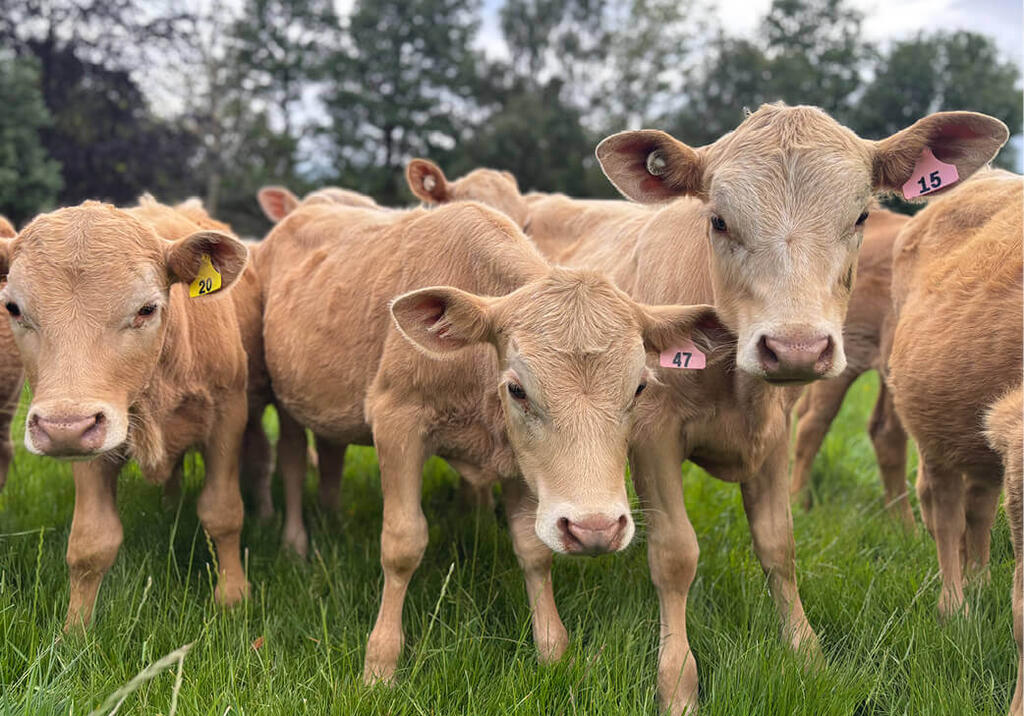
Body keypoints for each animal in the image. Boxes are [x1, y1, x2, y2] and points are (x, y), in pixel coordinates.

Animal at [0, 201, 251, 628]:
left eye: (146, 309)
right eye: (14, 308)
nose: (61, 428)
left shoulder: (229, 415)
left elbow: (223, 511)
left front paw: (233, 595)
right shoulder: (87, 442)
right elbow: (91, 541)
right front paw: (76, 629)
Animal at [253, 198, 724, 686]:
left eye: (640, 388)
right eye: (517, 389)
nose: (594, 528)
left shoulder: (518, 458)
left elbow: (533, 549)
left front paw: (552, 650)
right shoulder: (395, 418)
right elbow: (402, 543)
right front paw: (380, 665)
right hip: (285, 401)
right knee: (292, 461)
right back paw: (295, 543)